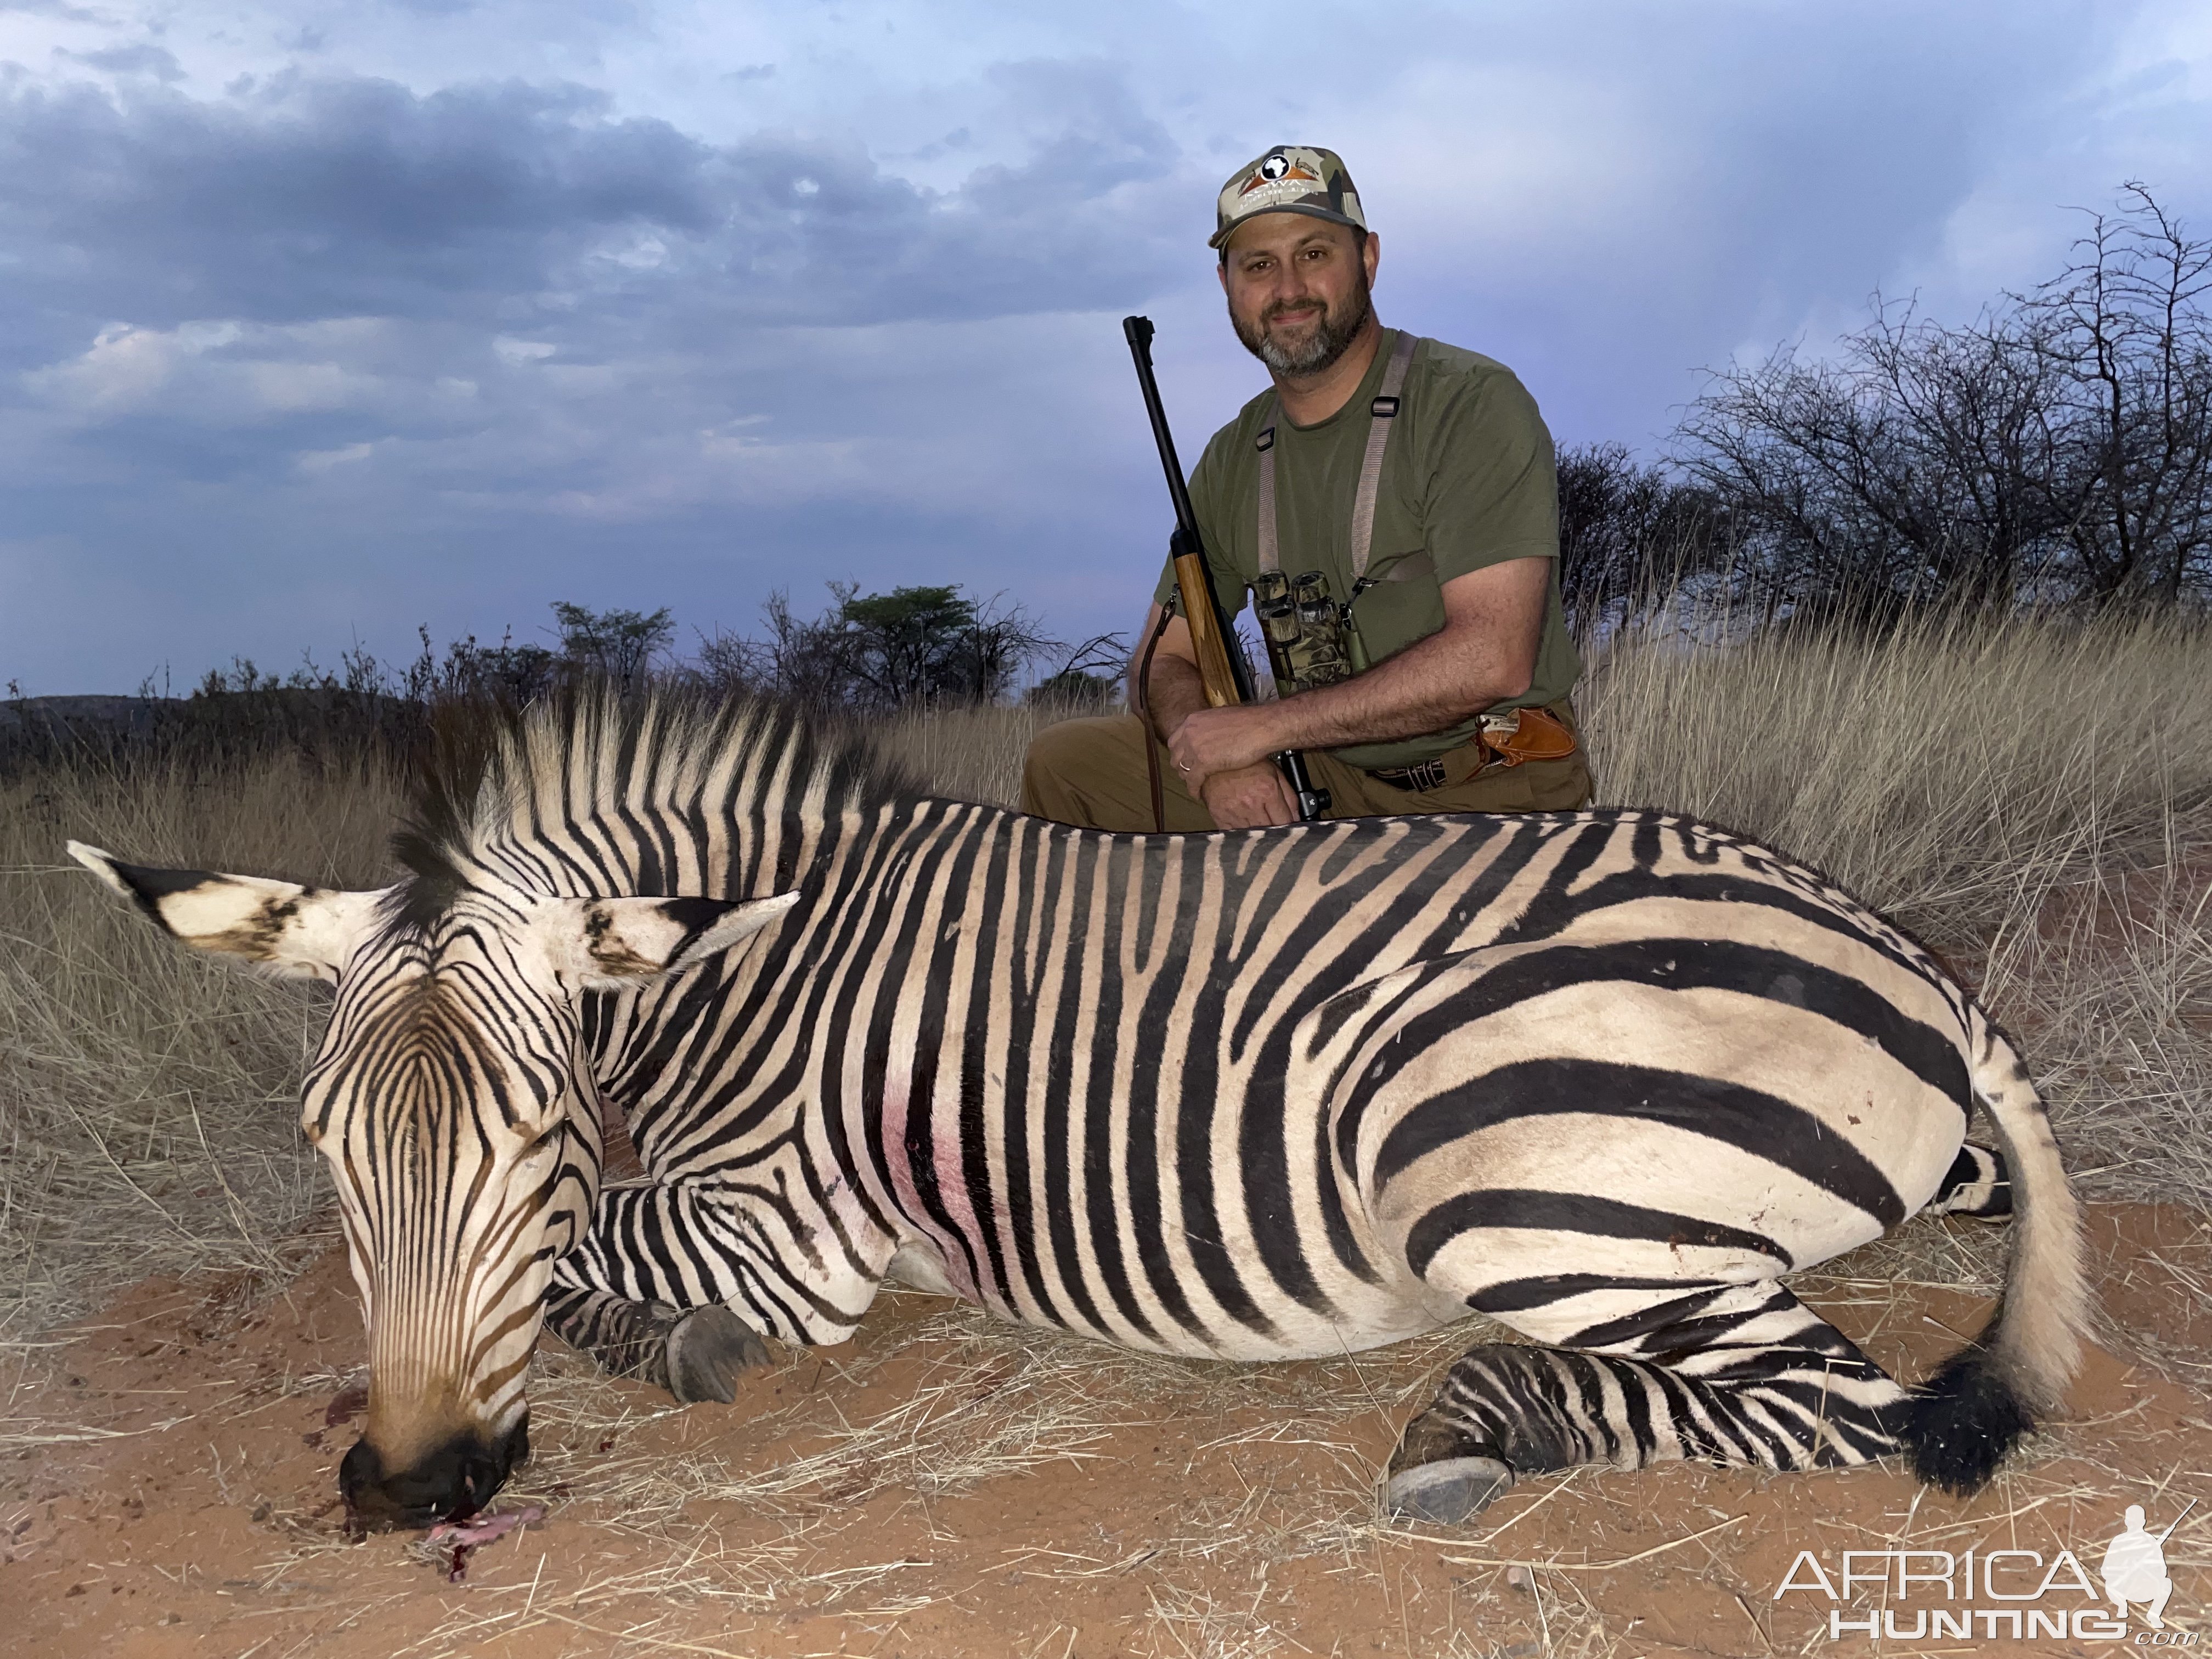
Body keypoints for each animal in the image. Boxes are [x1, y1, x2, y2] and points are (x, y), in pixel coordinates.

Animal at [74, 690, 2088, 1531]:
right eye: (329, 1156)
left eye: (532, 1144)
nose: (415, 1493)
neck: (741, 966)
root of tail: (1910, 966)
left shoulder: (791, 1235)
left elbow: (601, 1270)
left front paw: (679, 1350)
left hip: (1497, 1178)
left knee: (1851, 1412)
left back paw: (1474, 1427)